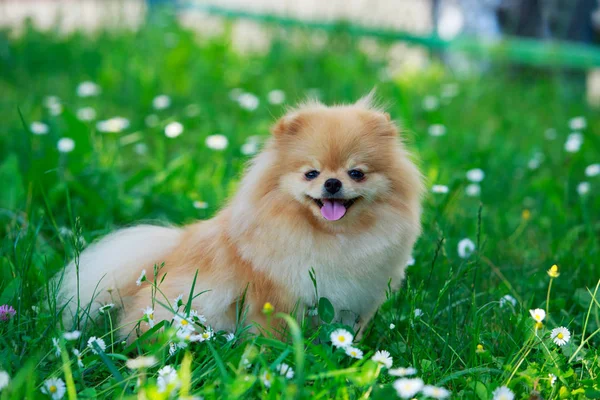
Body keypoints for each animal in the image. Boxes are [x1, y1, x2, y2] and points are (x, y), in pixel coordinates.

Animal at [55, 94, 422, 340]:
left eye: (356, 173)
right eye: (311, 173)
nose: (332, 183)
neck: (335, 237)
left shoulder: (356, 302)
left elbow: (348, 334)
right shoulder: (273, 300)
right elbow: (274, 335)